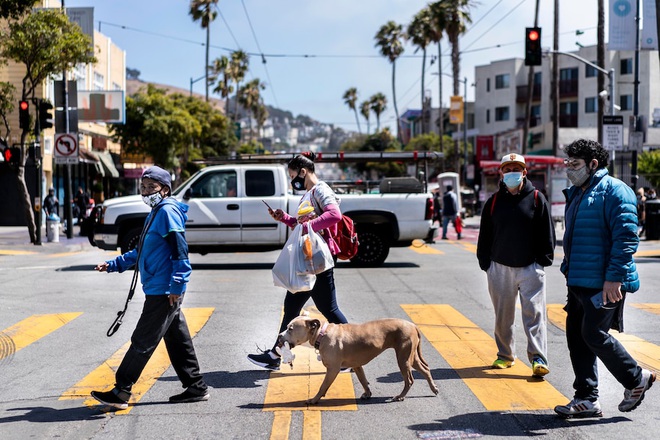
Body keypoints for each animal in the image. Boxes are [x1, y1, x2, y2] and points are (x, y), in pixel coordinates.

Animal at [278, 314, 438, 404]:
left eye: (290, 328)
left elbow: (323, 386)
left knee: (409, 380)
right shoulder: (357, 365)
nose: (279, 336)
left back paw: (400, 396)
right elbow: (363, 380)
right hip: (411, 357)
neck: (321, 334)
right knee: (425, 369)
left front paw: (314, 399)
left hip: (403, 358)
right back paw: (434, 388)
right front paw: (367, 393)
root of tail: (413, 325)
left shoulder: (333, 369)